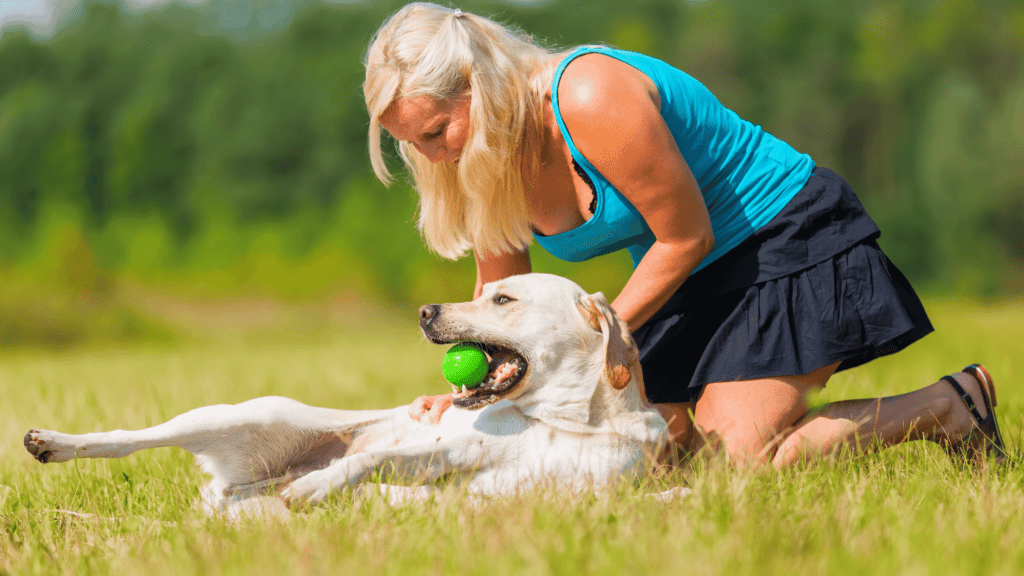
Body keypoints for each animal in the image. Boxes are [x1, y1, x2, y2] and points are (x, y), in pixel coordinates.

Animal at [22, 270, 671, 512]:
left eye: (503, 299)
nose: (425, 311)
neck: (570, 421)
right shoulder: (455, 449)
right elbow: (372, 457)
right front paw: (320, 482)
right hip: (229, 415)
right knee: (129, 438)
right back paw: (52, 441)